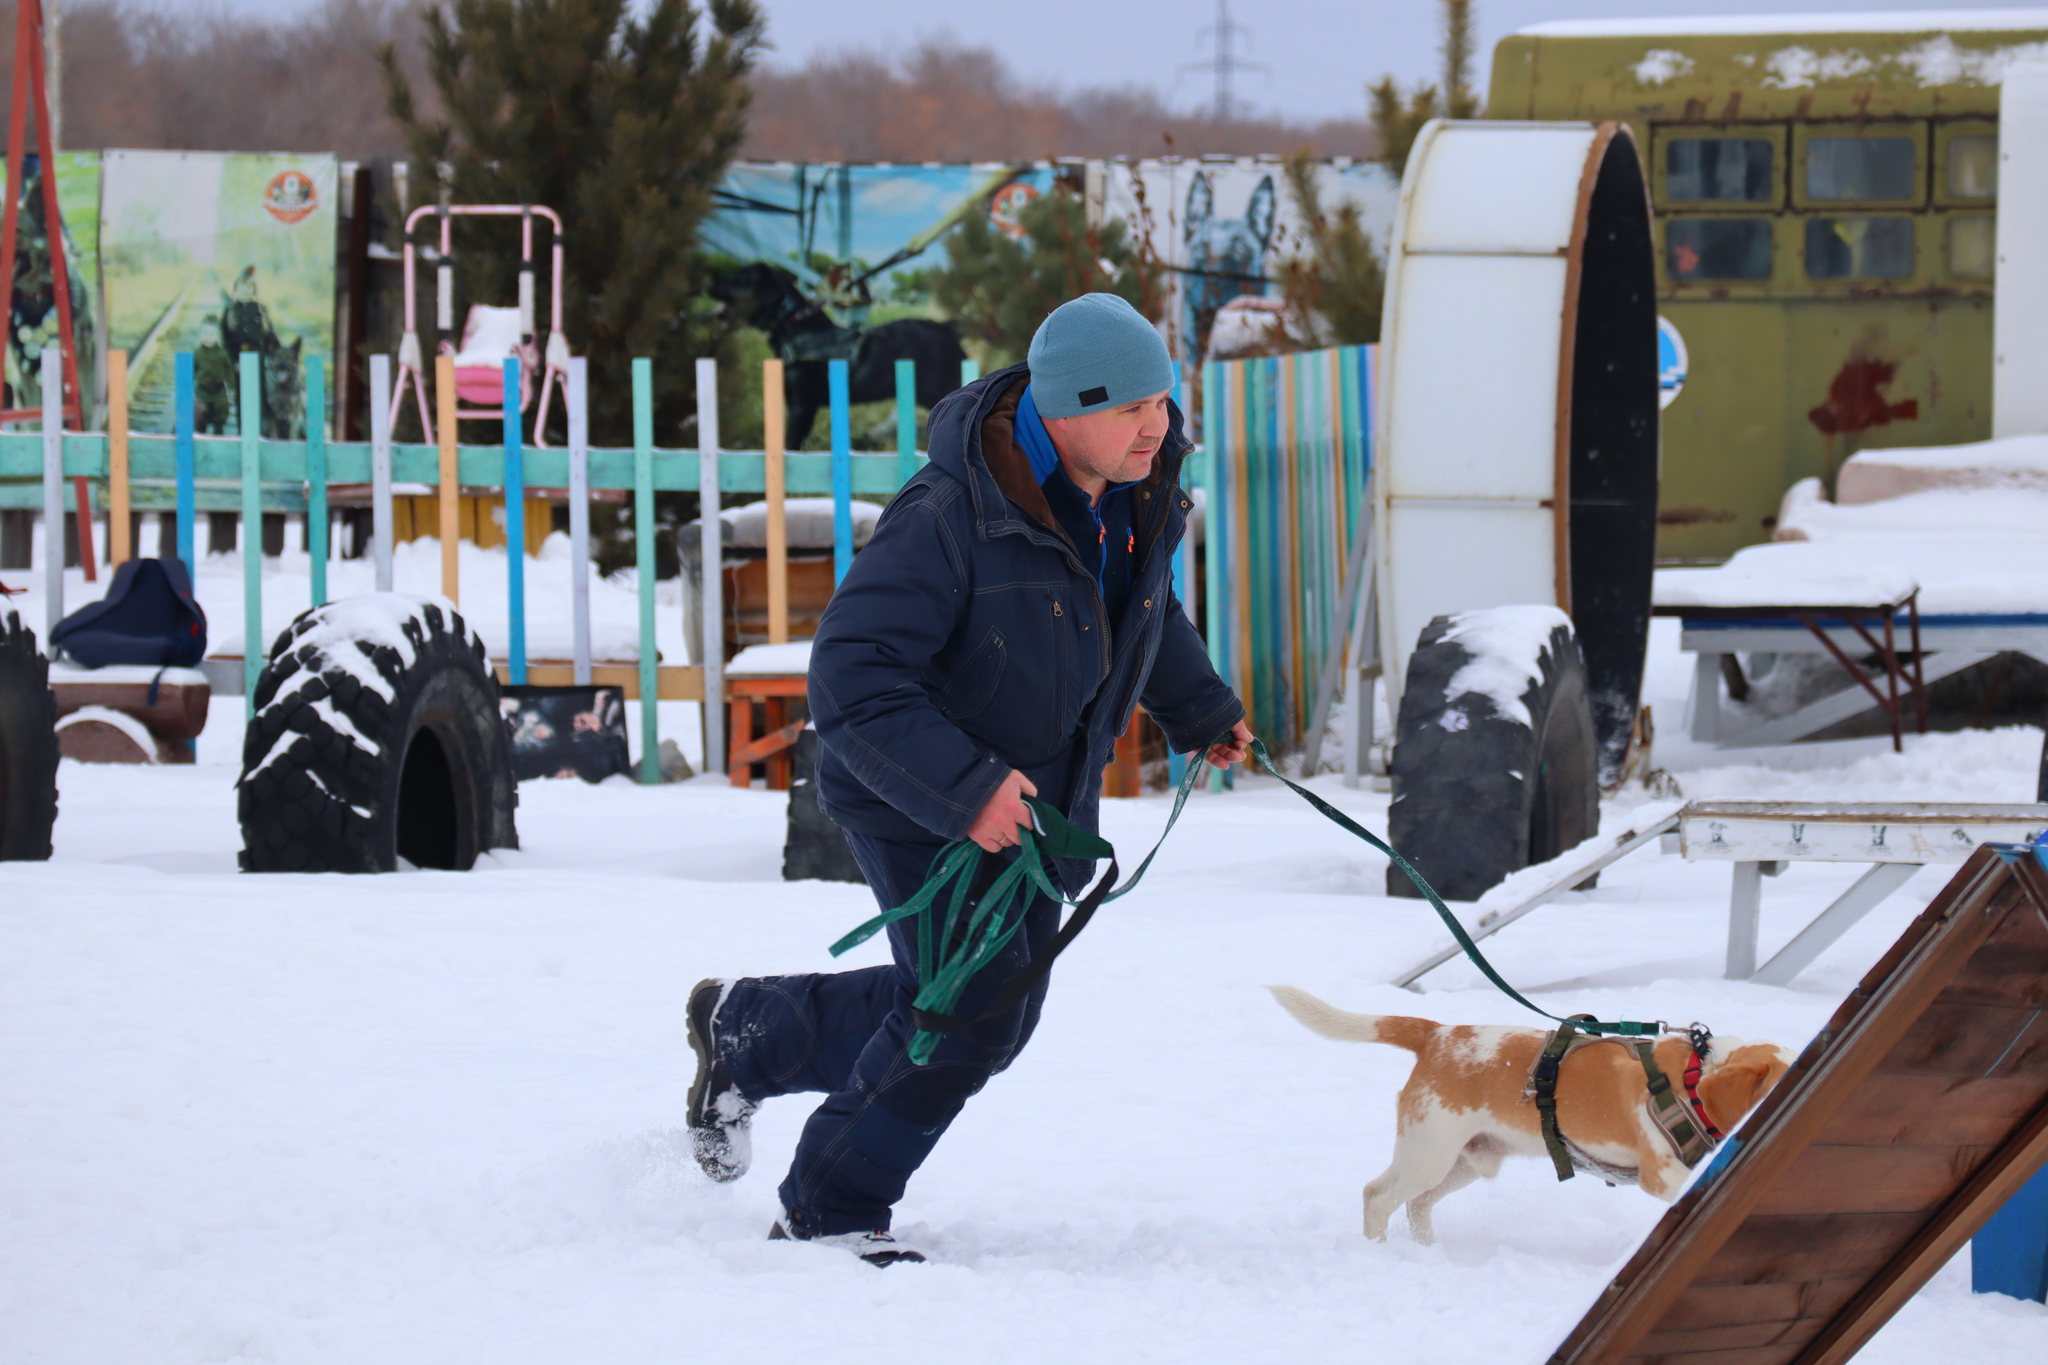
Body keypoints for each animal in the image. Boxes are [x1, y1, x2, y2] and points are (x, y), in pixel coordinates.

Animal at [1269, 986, 1785, 1244]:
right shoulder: (1661, 1174)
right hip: (1428, 1156)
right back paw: (1379, 1254)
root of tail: (1437, 1034)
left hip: (1464, 1162)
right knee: (1378, 1197)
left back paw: (1427, 1254)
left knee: (1414, 1204)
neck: (1694, 1078)